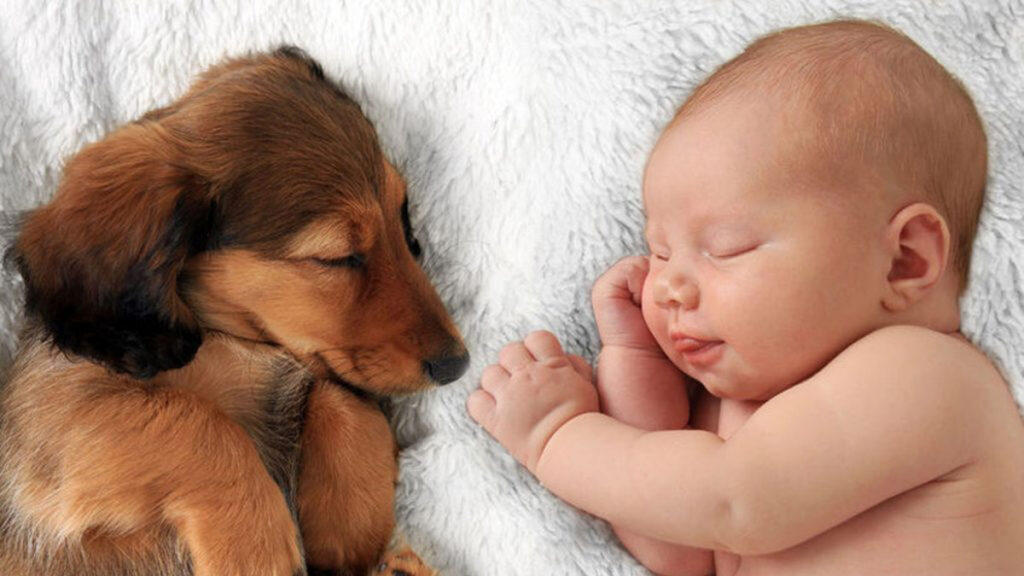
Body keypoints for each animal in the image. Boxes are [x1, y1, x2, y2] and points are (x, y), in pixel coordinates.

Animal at [0, 45, 468, 573]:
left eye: (402, 218)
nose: (457, 365)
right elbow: (197, 422)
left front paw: (350, 533)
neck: (231, 337)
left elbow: (342, 397)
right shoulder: (57, 410)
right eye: (336, 257)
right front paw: (257, 547)